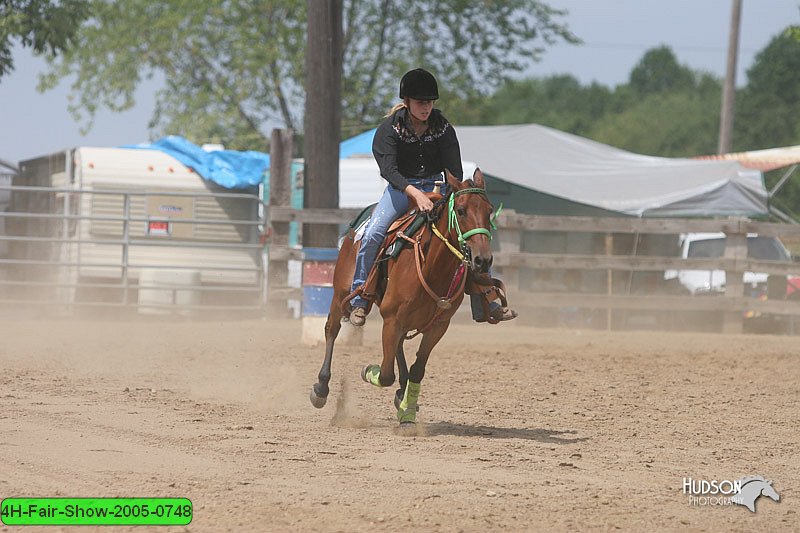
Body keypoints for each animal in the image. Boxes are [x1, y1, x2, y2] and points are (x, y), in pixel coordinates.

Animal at [310, 168, 496, 426]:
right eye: (461, 210)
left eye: (489, 211)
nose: (482, 260)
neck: (432, 267)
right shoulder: (392, 319)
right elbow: (385, 374)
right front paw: (368, 372)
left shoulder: (438, 325)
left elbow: (418, 369)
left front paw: (407, 410)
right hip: (340, 296)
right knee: (331, 329)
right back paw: (321, 388)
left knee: (396, 346)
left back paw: (401, 393)